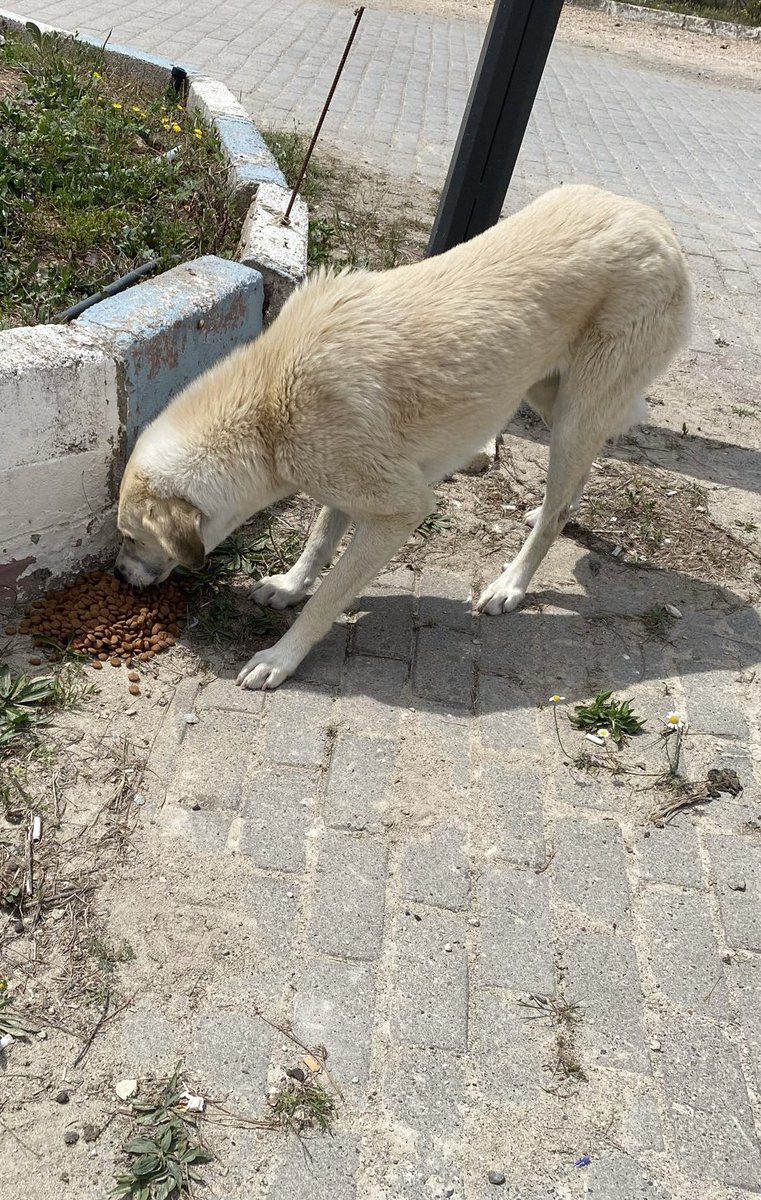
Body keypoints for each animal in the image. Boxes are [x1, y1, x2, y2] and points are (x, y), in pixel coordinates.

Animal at [115, 182, 691, 691]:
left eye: (130, 538)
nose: (119, 578)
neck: (268, 402)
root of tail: (660, 225)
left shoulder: (400, 508)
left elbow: (331, 595)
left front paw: (282, 656)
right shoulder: (345, 482)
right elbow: (320, 537)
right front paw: (290, 585)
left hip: (575, 413)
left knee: (558, 511)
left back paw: (512, 582)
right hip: (547, 397)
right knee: (571, 486)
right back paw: (545, 507)